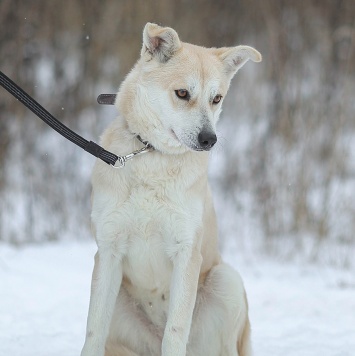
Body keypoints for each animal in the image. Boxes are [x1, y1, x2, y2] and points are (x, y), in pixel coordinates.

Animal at [81, 22, 262, 356]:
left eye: (217, 98)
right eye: (182, 93)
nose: (209, 139)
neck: (153, 156)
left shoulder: (186, 252)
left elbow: (176, 330)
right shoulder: (108, 251)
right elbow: (93, 331)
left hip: (226, 280)